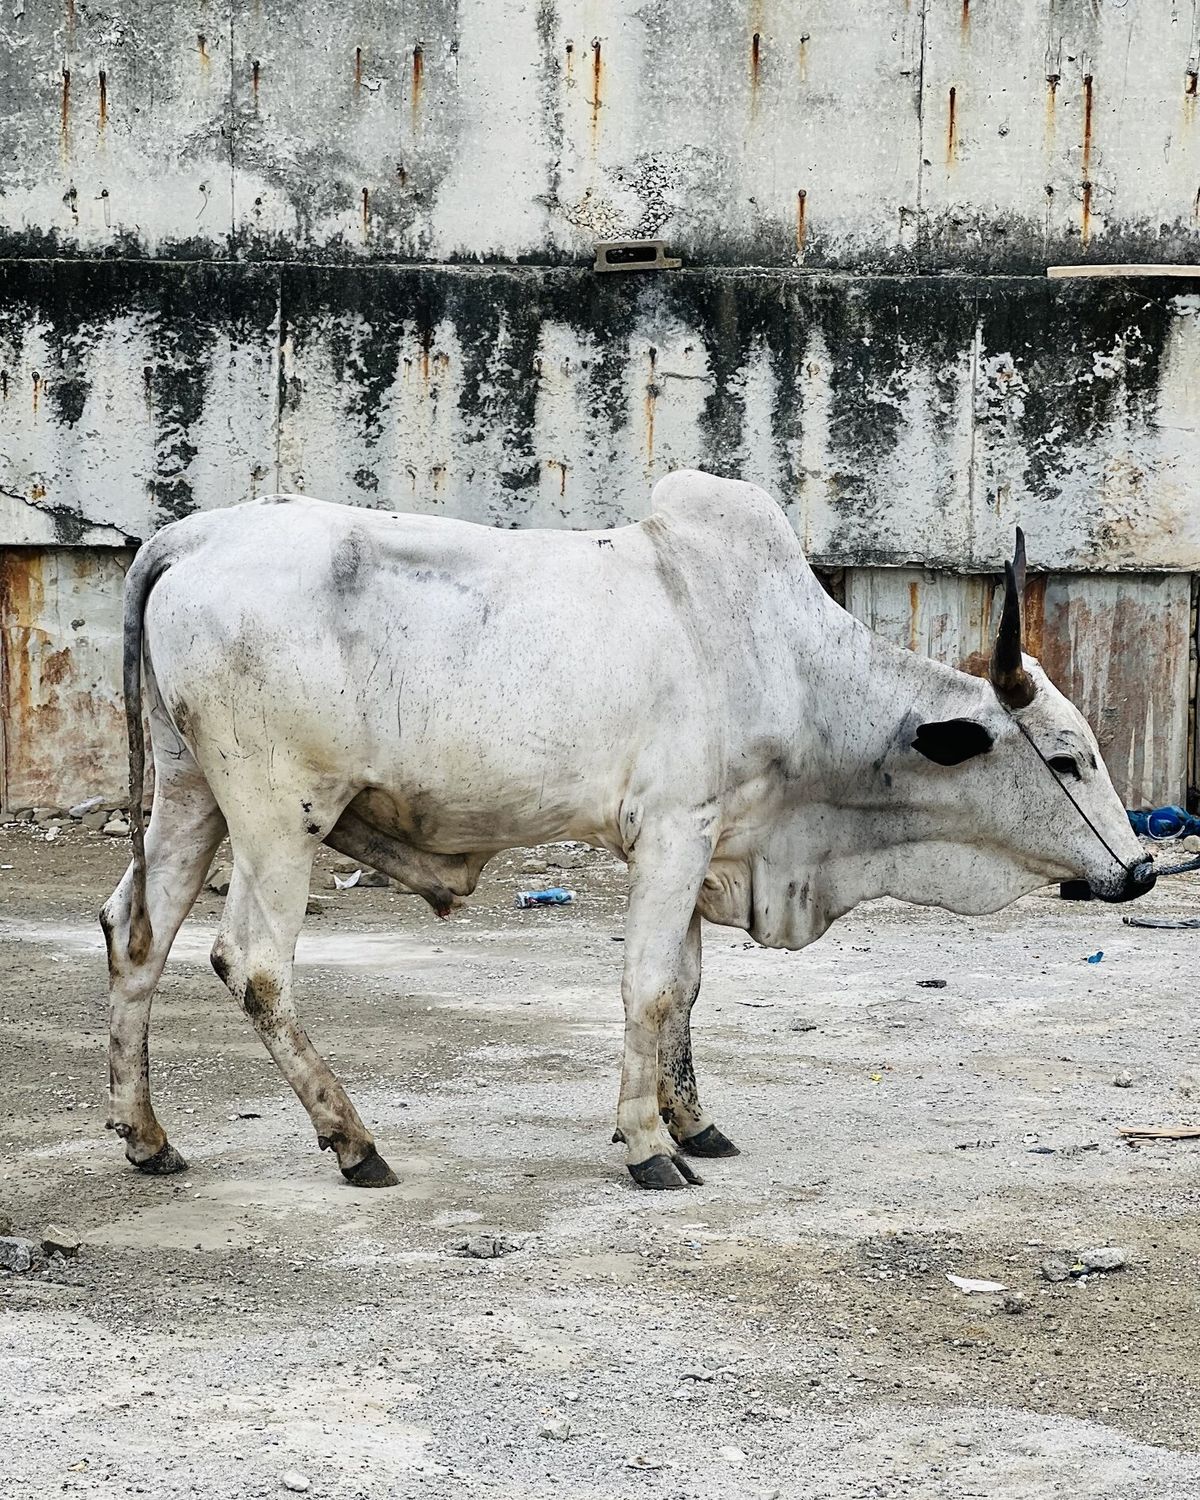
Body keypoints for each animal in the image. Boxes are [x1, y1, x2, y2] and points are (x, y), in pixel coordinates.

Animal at [100, 470, 1154, 1192]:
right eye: (1068, 758)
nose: (1143, 870)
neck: (787, 665)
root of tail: (188, 536)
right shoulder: (675, 833)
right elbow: (648, 990)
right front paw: (649, 1147)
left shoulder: (707, 841)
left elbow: (684, 990)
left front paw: (691, 1124)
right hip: (277, 813)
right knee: (253, 964)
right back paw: (355, 1142)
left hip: (189, 794)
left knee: (133, 935)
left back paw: (147, 1136)